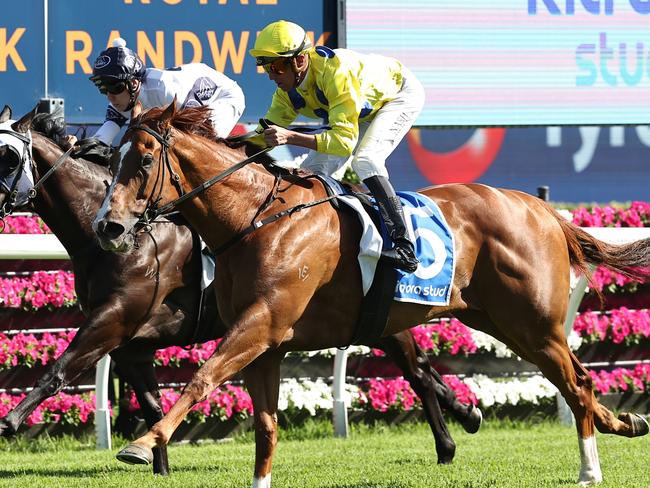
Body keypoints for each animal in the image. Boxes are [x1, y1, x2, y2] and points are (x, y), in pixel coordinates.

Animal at [0, 104, 478, 472]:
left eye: (6, 156)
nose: (109, 228)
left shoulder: (113, 320)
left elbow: (60, 370)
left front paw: (10, 421)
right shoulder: (131, 344)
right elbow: (152, 403)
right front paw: (158, 463)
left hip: (380, 318)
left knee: (418, 373)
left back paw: (451, 439)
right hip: (371, 321)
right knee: (424, 371)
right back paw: (465, 417)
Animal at [95, 102, 648, 484]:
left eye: (144, 160)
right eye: (115, 158)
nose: (108, 226)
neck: (254, 220)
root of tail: (541, 208)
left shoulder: (261, 325)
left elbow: (201, 379)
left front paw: (142, 444)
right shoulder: (265, 344)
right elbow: (266, 427)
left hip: (531, 322)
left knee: (577, 383)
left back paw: (590, 470)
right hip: (500, 320)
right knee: (578, 382)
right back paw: (626, 422)